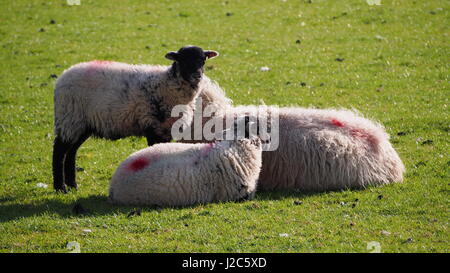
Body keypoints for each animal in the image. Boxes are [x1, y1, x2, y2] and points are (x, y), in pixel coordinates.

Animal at [53, 45, 220, 191]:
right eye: (183, 60)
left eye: (203, 60)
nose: (197, 75)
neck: (169, 84)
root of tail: (62, 77)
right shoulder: (153, 126)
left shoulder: (165, 129)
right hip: (69, 117)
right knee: (60, 151)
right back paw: (61, 188)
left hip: (81, 124)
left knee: (71, 152)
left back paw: (73, 186)